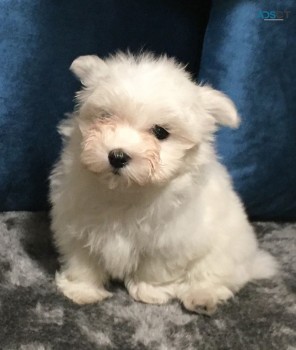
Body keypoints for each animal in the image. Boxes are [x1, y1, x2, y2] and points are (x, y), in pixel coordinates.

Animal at [49, 52, 276, 314]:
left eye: (160, 132)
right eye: (105, 116)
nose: (117, 156)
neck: (124, 190)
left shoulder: (170, 240)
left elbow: (156, 268)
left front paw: (150, 291)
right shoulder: (75, 224)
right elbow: (81, 260)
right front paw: (82, 290)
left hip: (225, 249)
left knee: (213, 276)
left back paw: (202, 297)